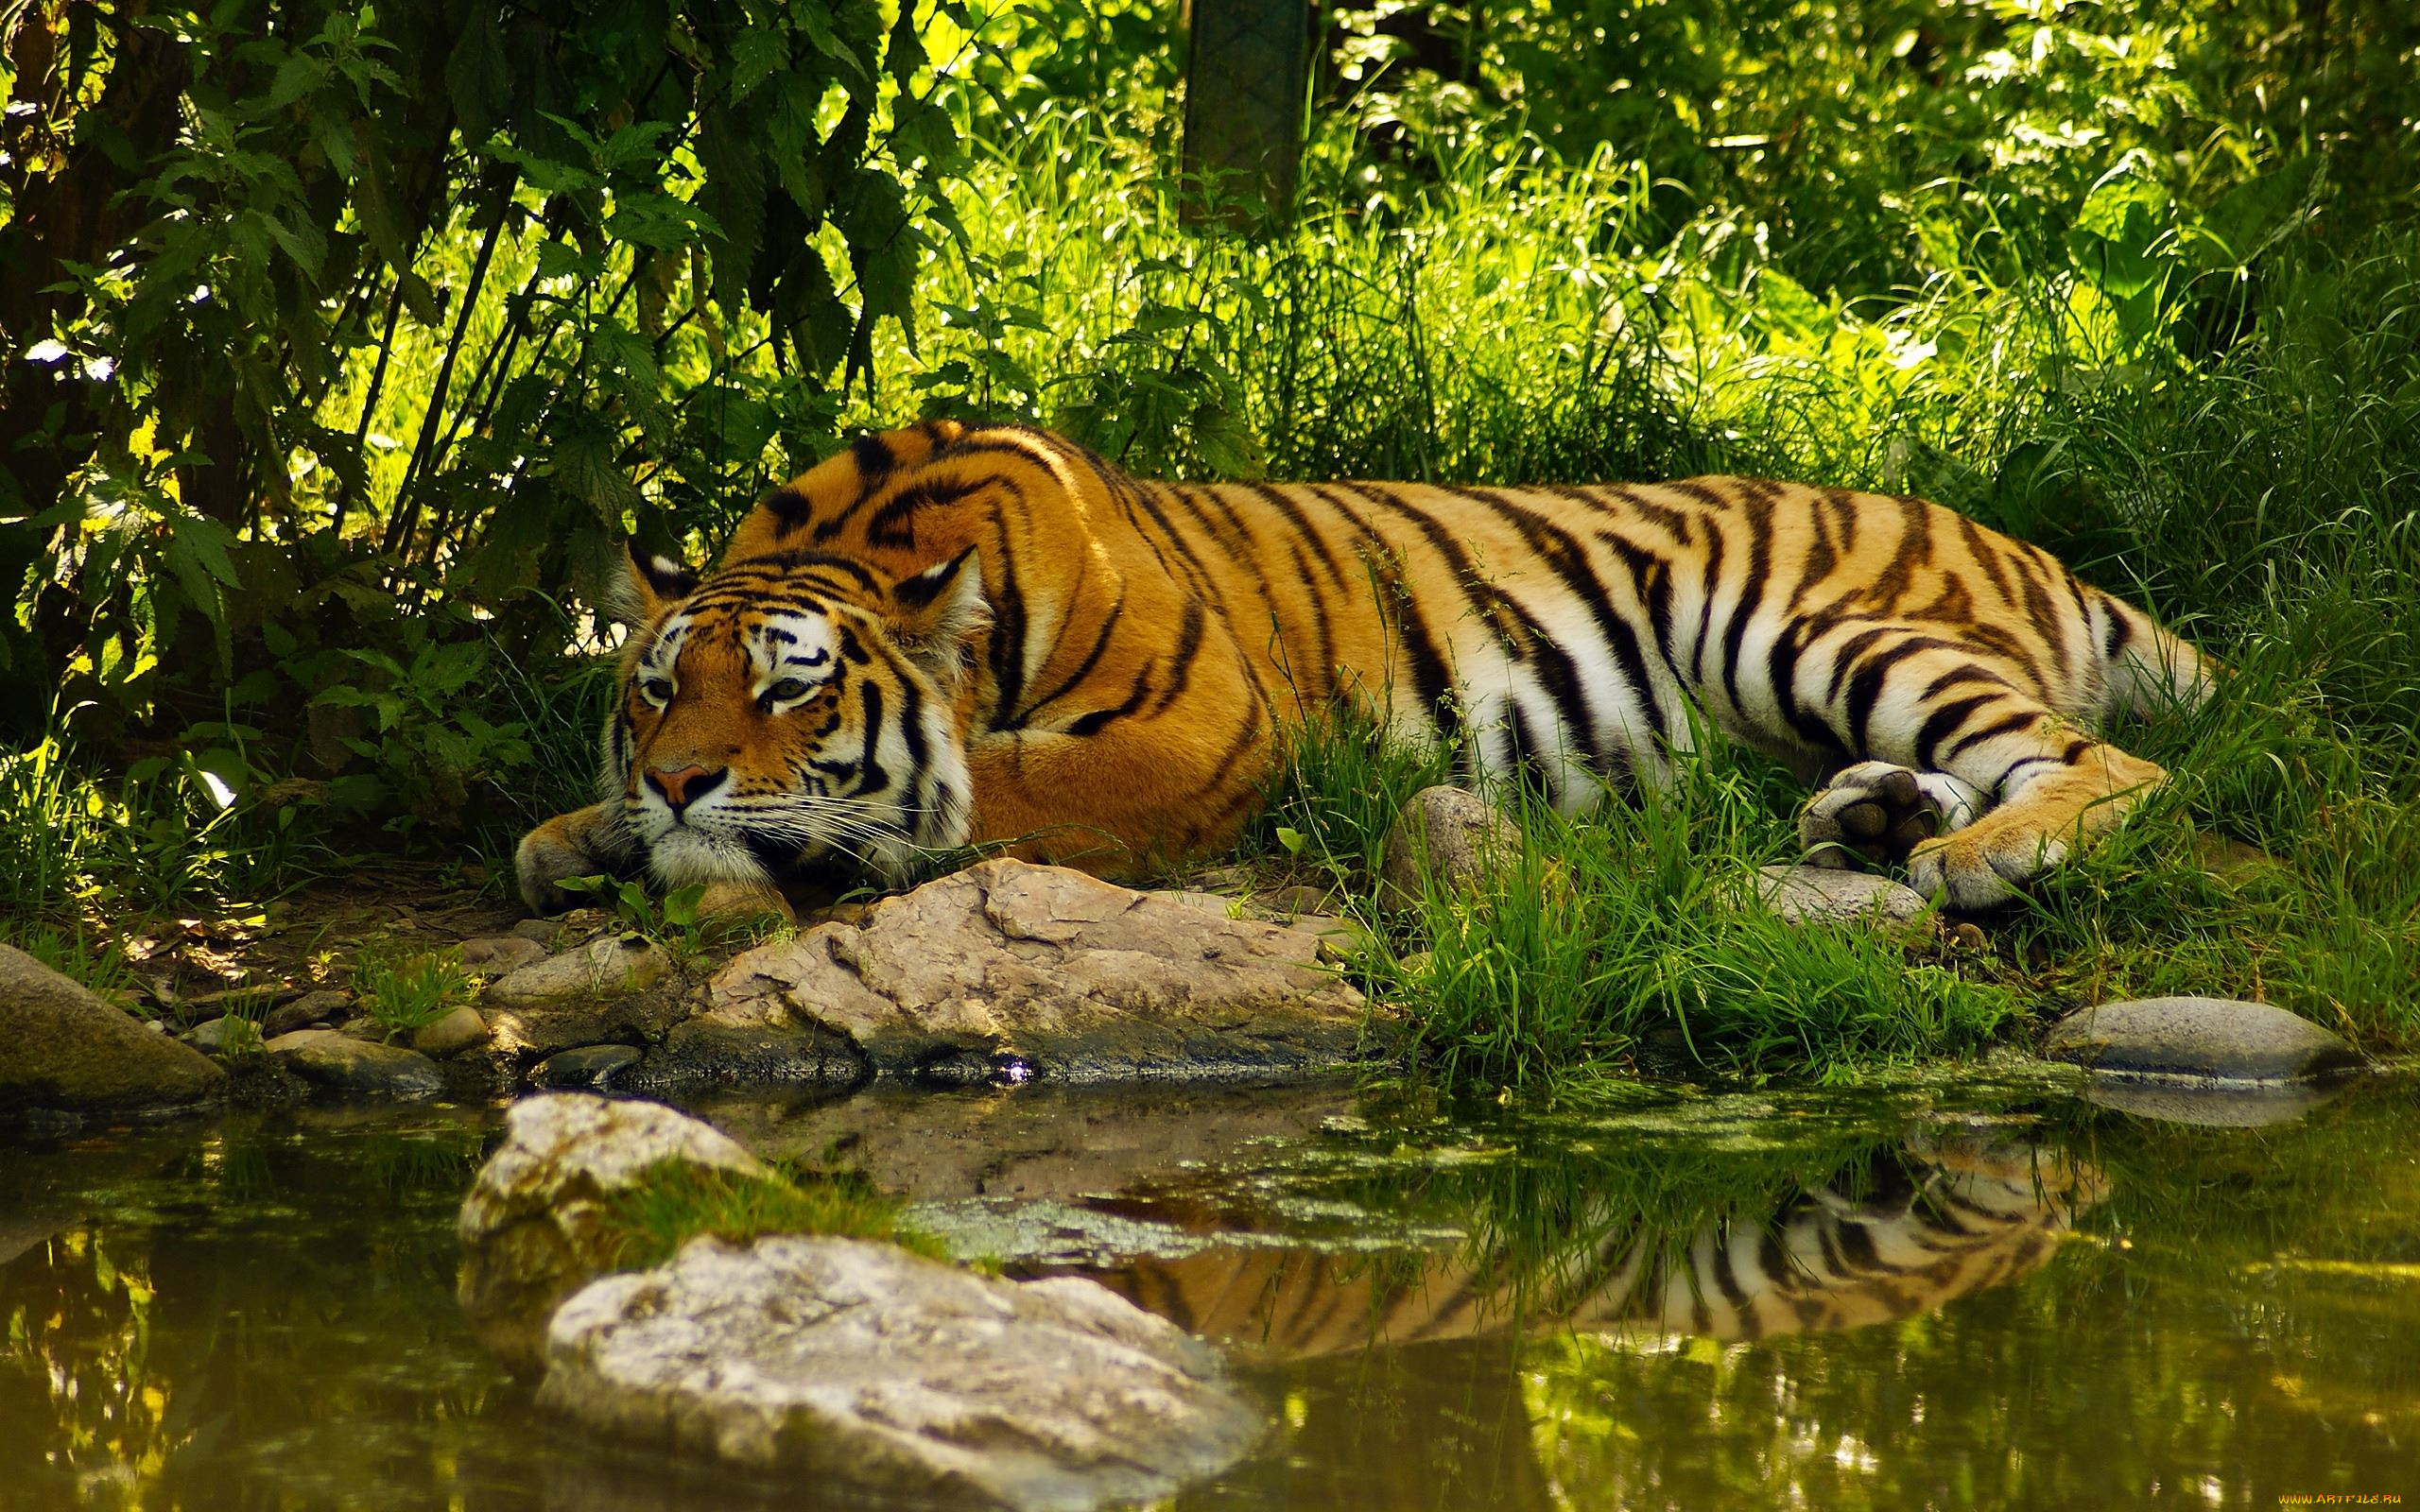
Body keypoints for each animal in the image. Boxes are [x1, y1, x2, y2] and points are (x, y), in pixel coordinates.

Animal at [514, 419, 2210, 917]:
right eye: (657, 686)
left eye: (791, 688)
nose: (679, 782)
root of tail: (2015, 540)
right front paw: (580, 832)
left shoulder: (1199, 731)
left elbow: (987, 786)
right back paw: (1875, 819)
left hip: (1808, 624)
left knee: (2109, 763)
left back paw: (1981, 855)